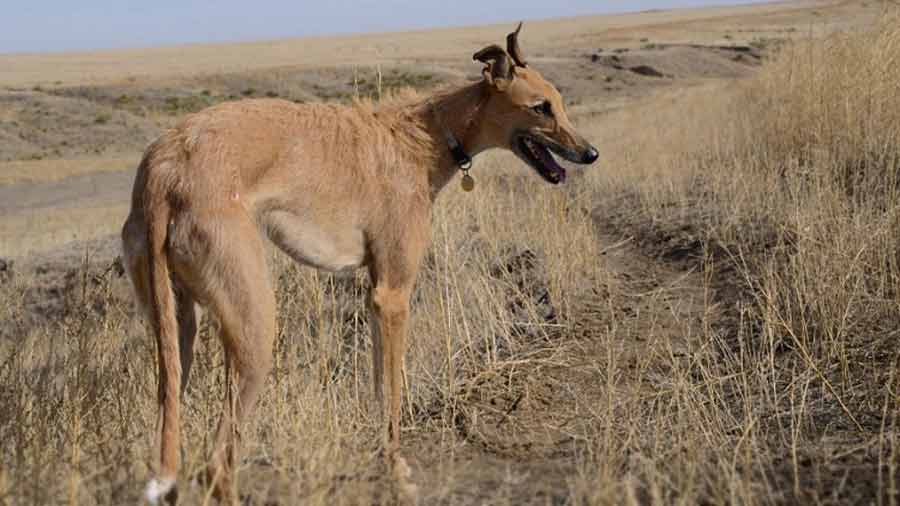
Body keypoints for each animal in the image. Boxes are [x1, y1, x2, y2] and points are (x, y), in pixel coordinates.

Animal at [119, 22, 596, 502]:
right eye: (541, 108)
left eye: (559, 102)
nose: (590, 153)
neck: (427, 136)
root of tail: (164, 169)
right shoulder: (393, 295)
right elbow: (393, 392)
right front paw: (398, 472)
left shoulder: (373, 296)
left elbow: (378, 384)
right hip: (254, 327)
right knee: (217, 462)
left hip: (176, 331)